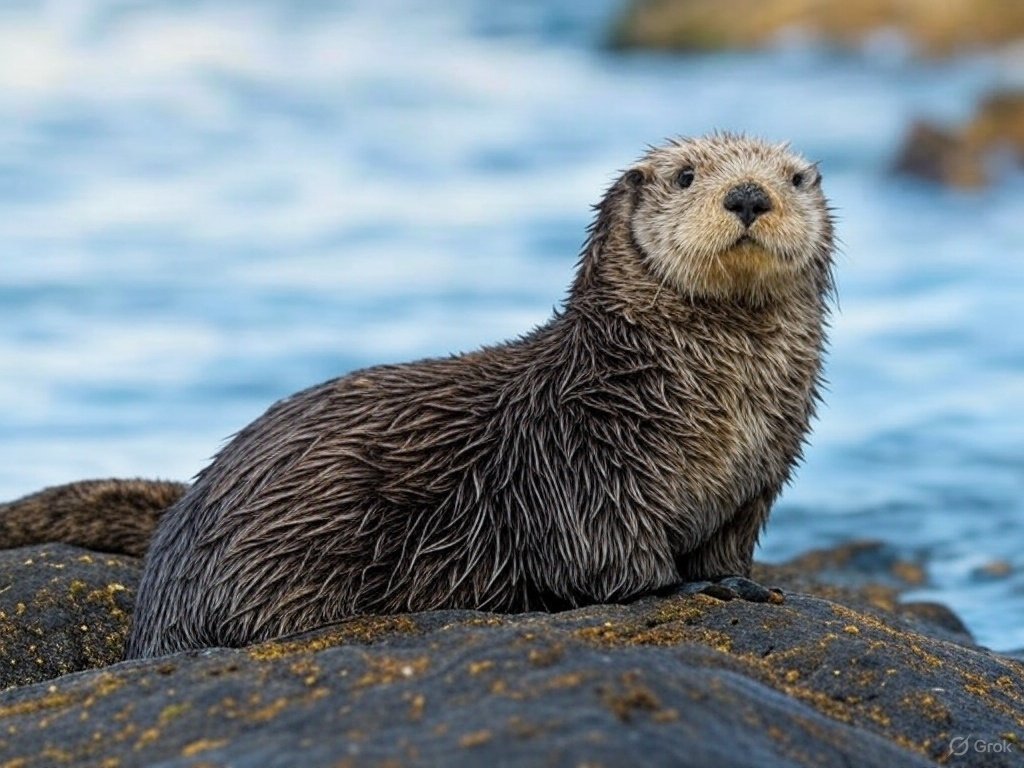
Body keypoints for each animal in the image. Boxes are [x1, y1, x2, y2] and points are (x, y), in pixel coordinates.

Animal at [2, 134, 835, 659]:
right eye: (687, 175)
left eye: (795, 177)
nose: (750, 195)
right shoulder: (585, 462)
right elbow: (608, 568)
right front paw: (706, 586)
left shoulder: (755, 482)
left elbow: (726, 541)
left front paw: (738, 577)